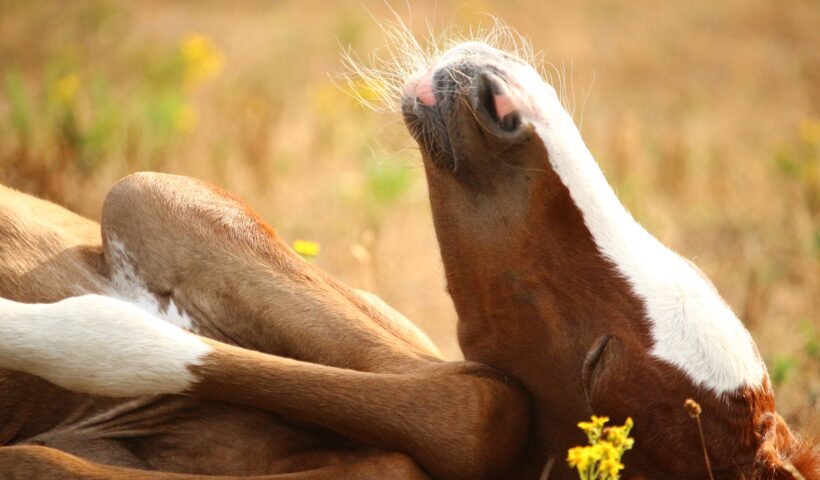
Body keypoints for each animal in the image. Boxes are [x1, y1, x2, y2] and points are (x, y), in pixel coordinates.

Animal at [0, 35, 816, 478]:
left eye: (598, 363)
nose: (499, 101)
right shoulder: (170, 203)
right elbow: (470, 404)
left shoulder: (150, 203)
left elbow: (476, 408)